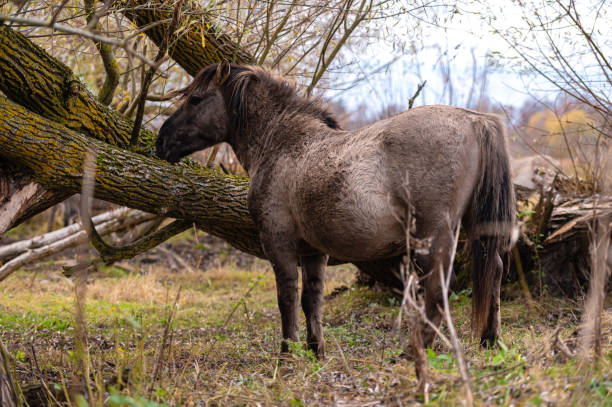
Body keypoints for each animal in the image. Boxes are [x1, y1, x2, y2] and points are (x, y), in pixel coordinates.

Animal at [157, 61, 516, 356]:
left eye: (195, 99)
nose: (162, 141)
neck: (282, 143)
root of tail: (474, 119)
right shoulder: (314, 251)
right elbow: (311, 300)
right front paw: (316, 350)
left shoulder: (278, 242)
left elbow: (287, 297)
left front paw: (287, 353)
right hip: (475, 228)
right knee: (496, 271)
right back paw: (490, 340)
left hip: (432, 235)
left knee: (438, 288)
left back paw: (414, 350)